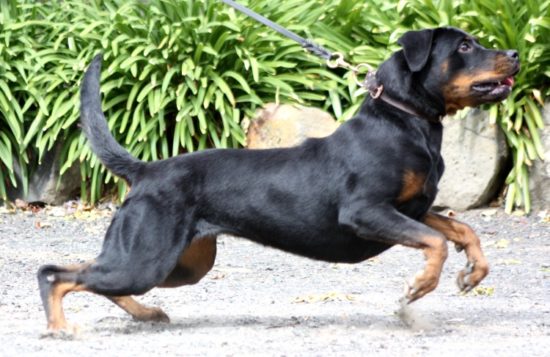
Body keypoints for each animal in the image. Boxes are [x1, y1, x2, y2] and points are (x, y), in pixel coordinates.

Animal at [37, 27, 520, 330]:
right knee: (54, 274)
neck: (406, 121)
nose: (515, 55)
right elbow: (436, 242)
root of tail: (147, 170)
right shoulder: (365, 212)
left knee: (87, 274)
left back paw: (147, 315)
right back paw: (62, 329)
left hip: (177, 263)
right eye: (463, 47)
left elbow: (461, 229)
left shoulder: (411, 210)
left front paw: (473, 273)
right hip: (149, 256)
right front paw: (419, 287)